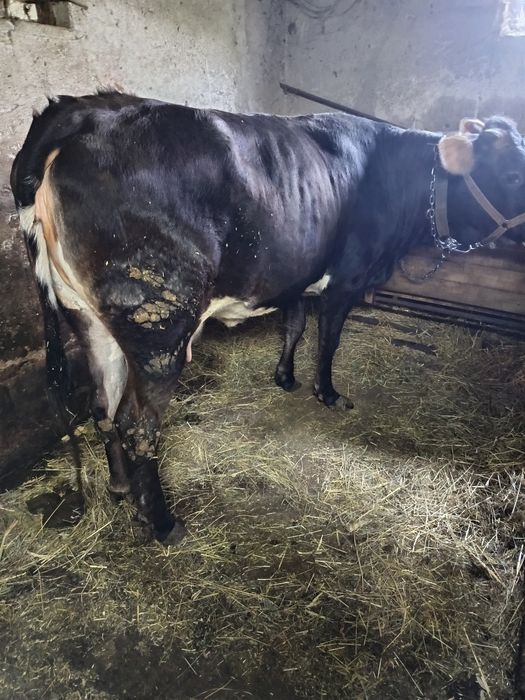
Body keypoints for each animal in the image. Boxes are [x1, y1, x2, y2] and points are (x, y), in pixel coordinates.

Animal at [10, 91, 525, 543]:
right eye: (513, 174)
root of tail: (85, 111)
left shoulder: (295, 275)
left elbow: (295, 326)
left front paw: (285, 376)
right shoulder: (344, 283)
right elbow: (328, 341)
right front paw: (327, 393)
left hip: (86, 318)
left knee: (102, 405)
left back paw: (119, 487)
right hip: (158, 325)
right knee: (138, 428)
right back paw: (162, 523)